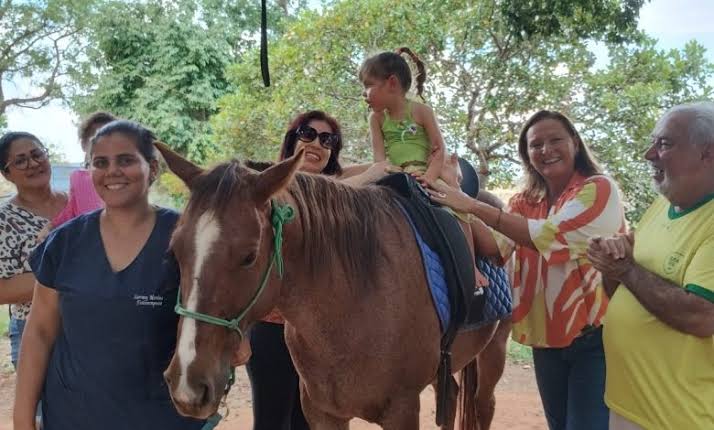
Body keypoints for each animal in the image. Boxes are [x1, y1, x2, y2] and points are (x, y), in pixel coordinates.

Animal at [158, 143, 510, 430]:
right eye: (175, 250)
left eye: (249, 256)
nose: (187, 385)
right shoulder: (322, 412)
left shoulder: (403, 410)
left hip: (494, 353)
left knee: (484, 405)